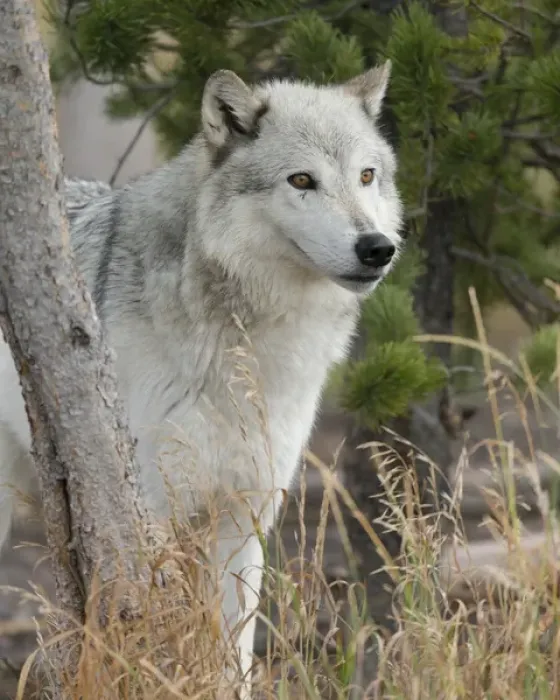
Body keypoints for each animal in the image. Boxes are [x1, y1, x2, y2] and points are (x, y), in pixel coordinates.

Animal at [0, 62, 403, 696]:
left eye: (367, 176)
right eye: (302, 180)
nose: (377, 248)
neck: (245, 345)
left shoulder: (247, 513)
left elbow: (235, 648)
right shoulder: (153, 509)